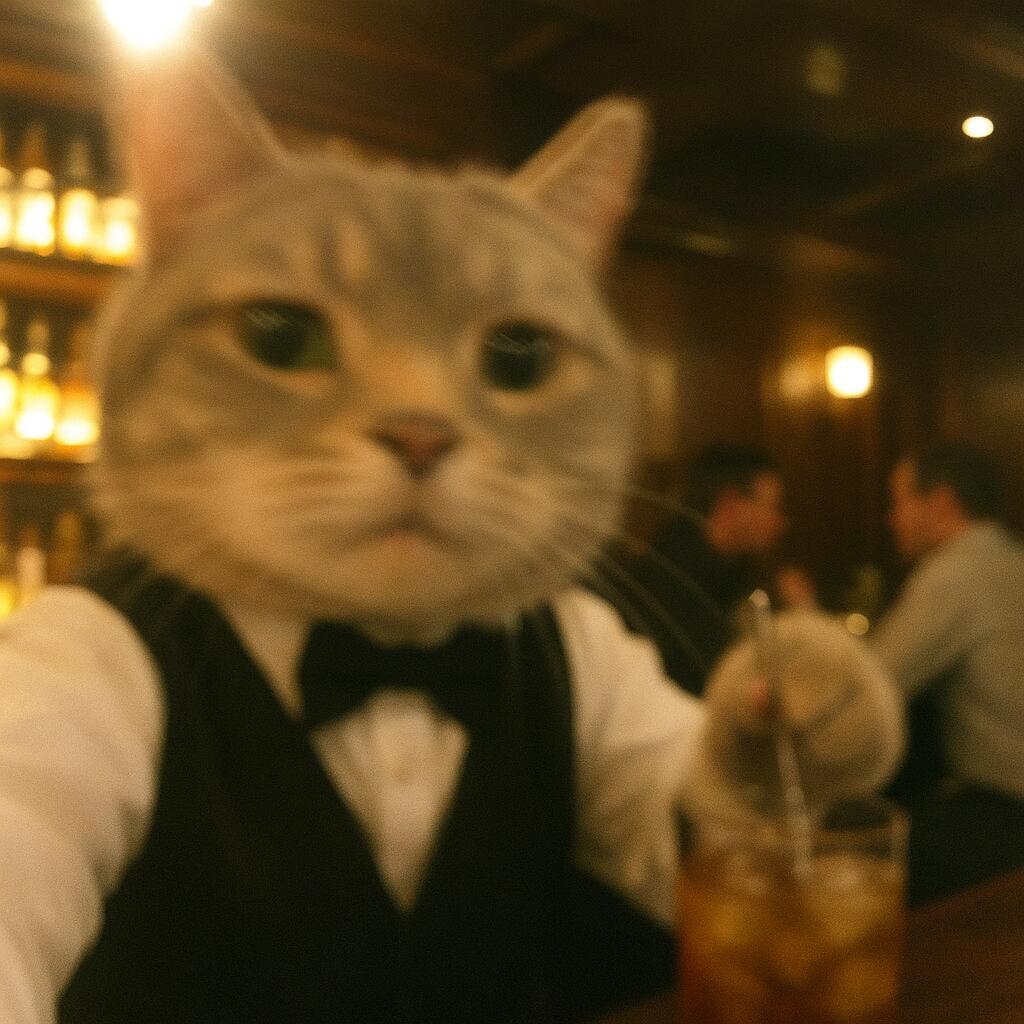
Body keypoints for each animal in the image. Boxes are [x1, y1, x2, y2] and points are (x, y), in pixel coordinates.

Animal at [0, 45, 902, 1024]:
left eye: (519, 357)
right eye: (280, 336)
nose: (420, 435)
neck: (389, 664)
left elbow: (693, 805)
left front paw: (815, 691)